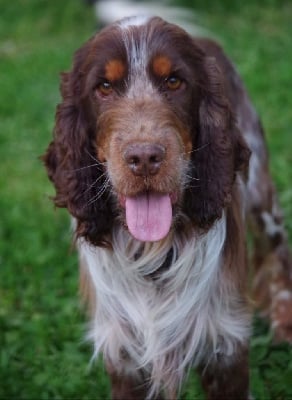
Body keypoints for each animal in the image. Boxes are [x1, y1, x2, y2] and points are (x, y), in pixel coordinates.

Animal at [42, 12, 292, 400]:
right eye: (103, 87)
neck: (154, 249)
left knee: (275, 248)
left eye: (174, 81)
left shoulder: (226, 345)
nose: (144, 157)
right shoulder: (125, 356)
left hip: (260, 195)